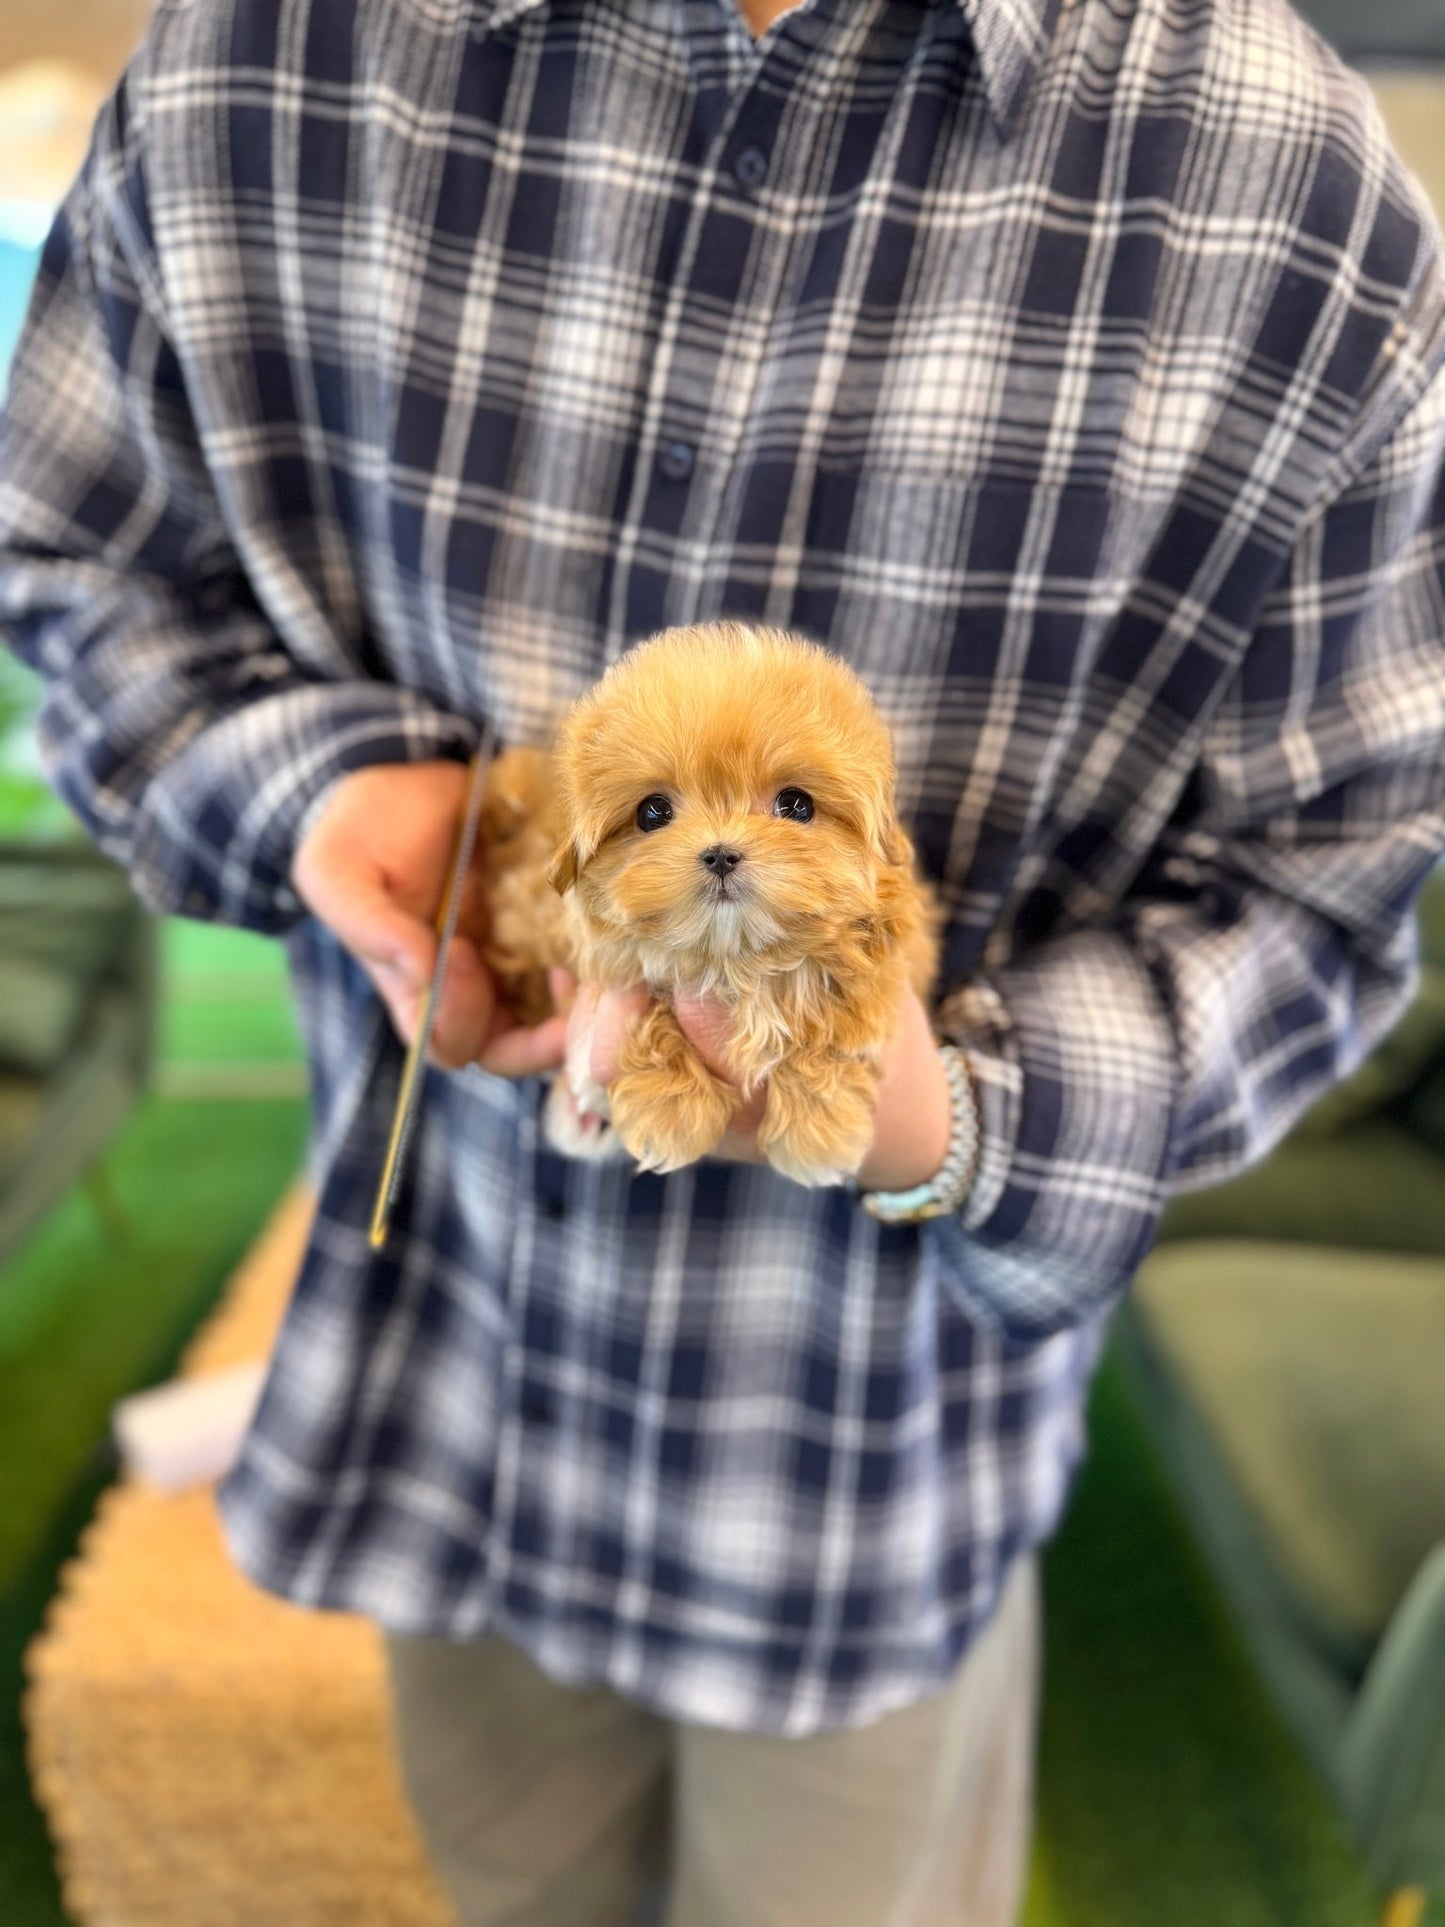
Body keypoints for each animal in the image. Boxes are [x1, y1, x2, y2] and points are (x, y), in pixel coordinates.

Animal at [481, 624, 944, 1179]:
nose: (721, 854)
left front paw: (820, 1126)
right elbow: (648, 1001)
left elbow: (842, 1011)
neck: (735, 960)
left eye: (796, 805)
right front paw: (670, 1107)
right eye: (653, 812)